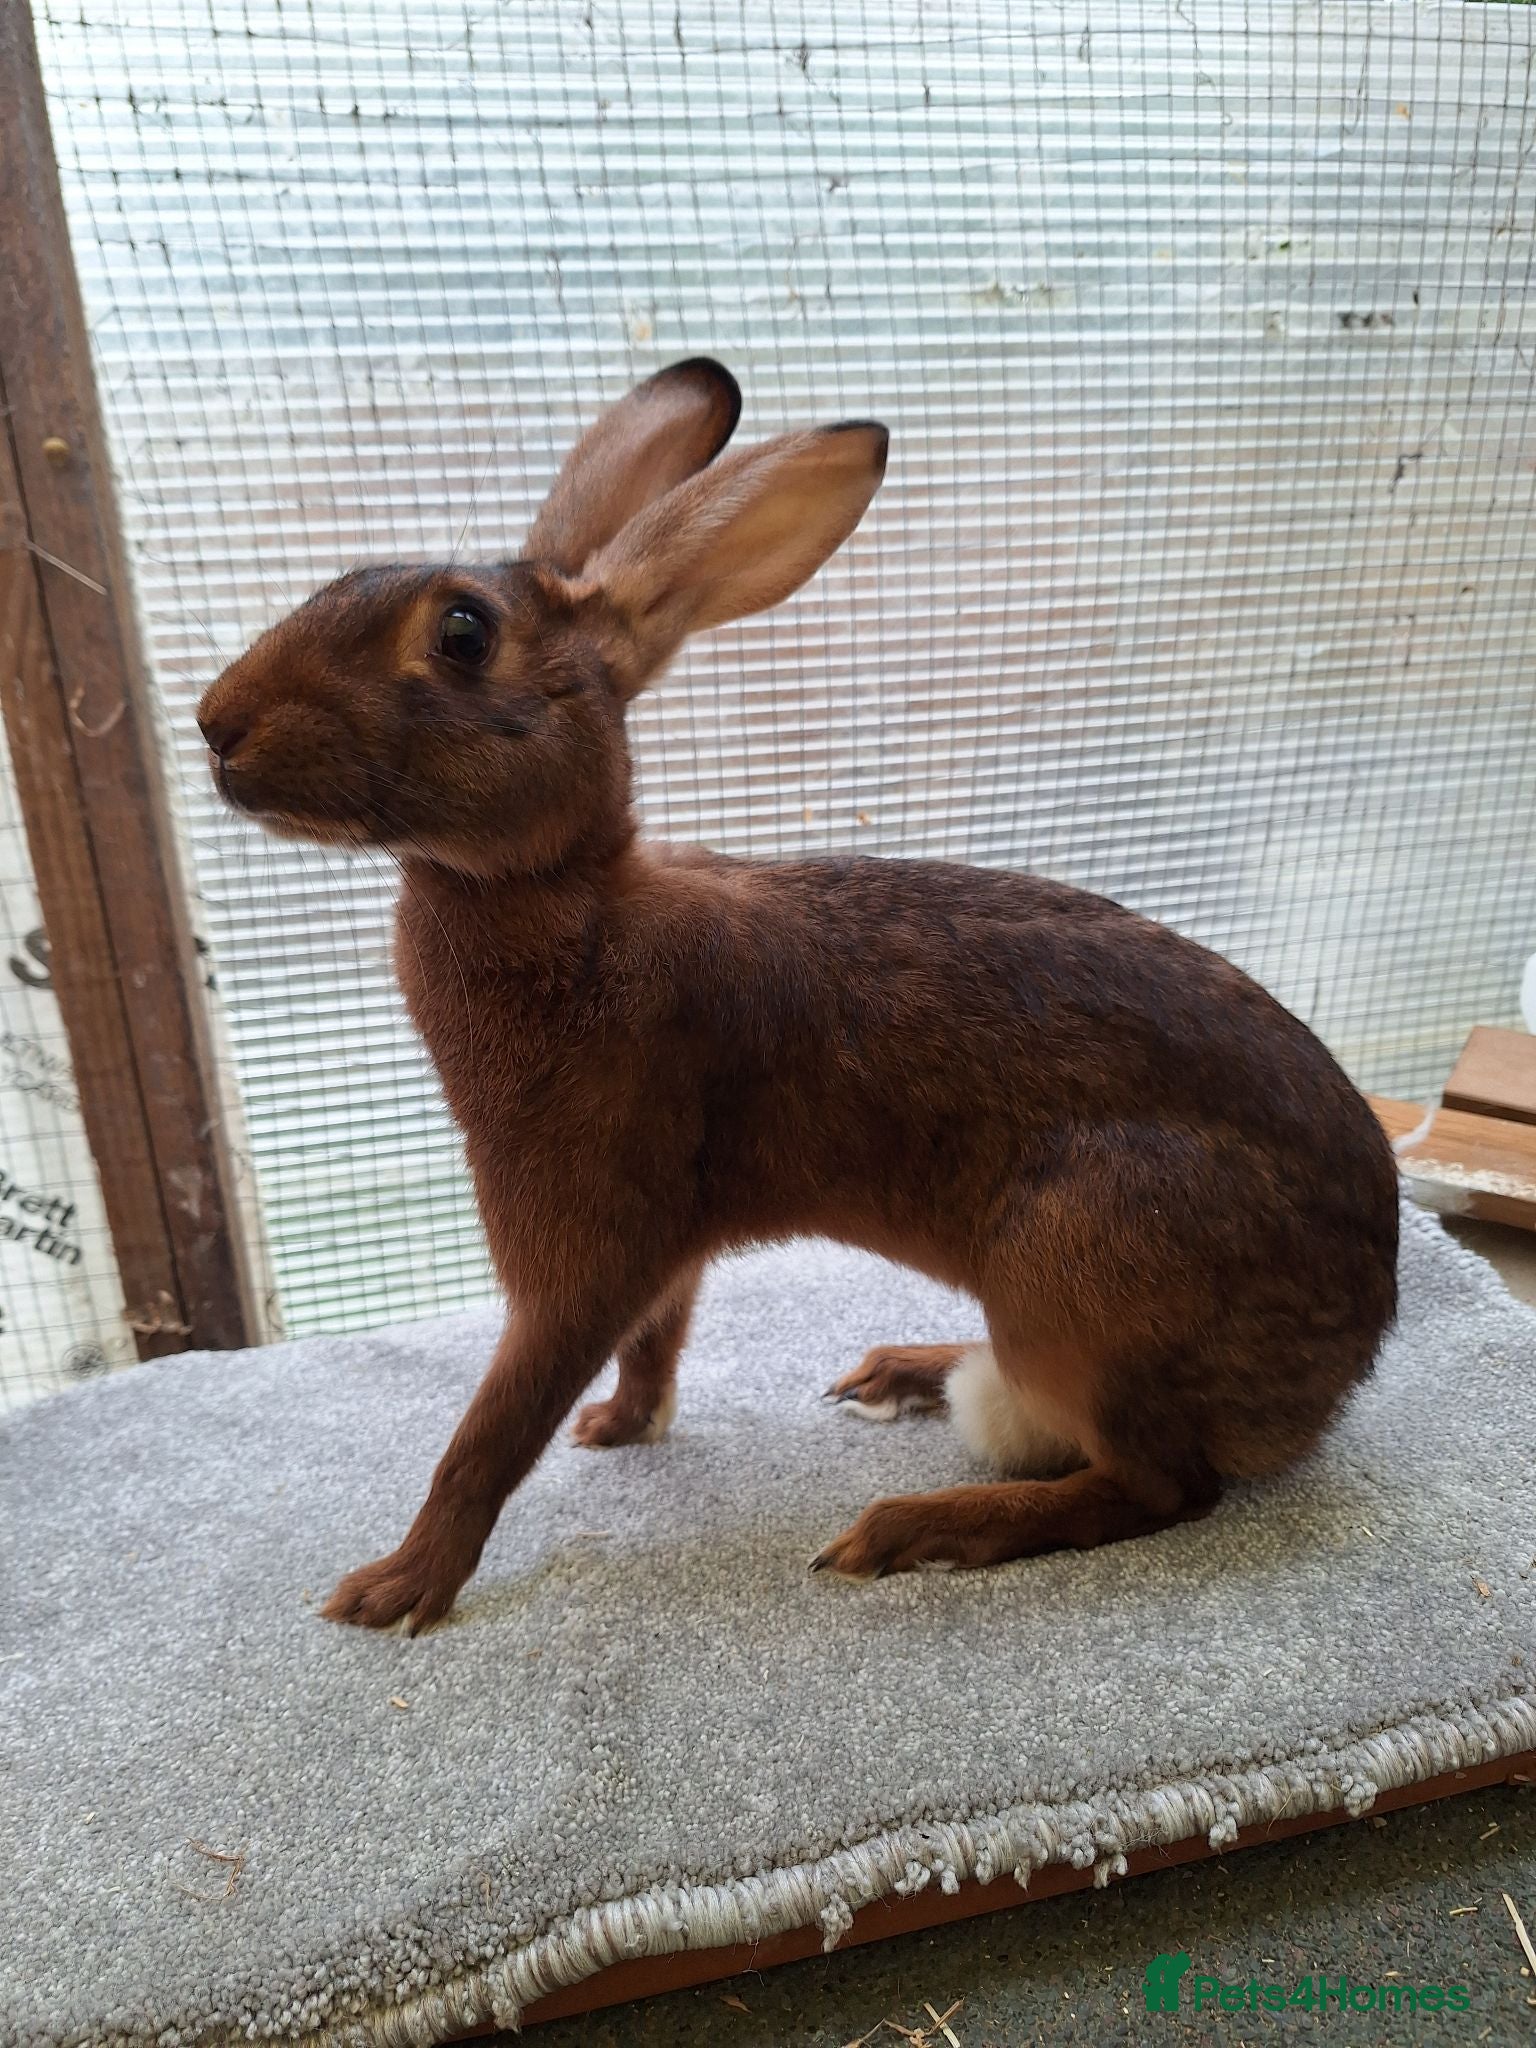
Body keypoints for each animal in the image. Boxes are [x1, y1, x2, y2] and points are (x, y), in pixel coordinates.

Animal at [197, 358, 1399, 1632]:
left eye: (463, 631)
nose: (215, 723)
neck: (566, 899)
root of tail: (1345, 1358)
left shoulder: (580, 1248)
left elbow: (491, 1431)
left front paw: (394, 1587)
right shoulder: (662, 1246)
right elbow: (657, 1339)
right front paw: (617, 1427)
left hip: (1087, 1266)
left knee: (1160, 1486)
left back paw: (909, 1527)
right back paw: (904, 1371)